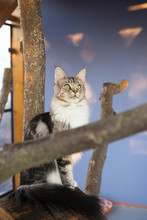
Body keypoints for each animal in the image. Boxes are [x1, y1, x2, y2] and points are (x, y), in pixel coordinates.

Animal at [10, 66, 105, 219]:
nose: (75, 91)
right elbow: (66, 172)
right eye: (67, 86)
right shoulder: (62, 153)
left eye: (79, 86)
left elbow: (69, 171)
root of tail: (23, 185)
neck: (72, 110)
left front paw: (72, 183)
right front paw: (69, 188)